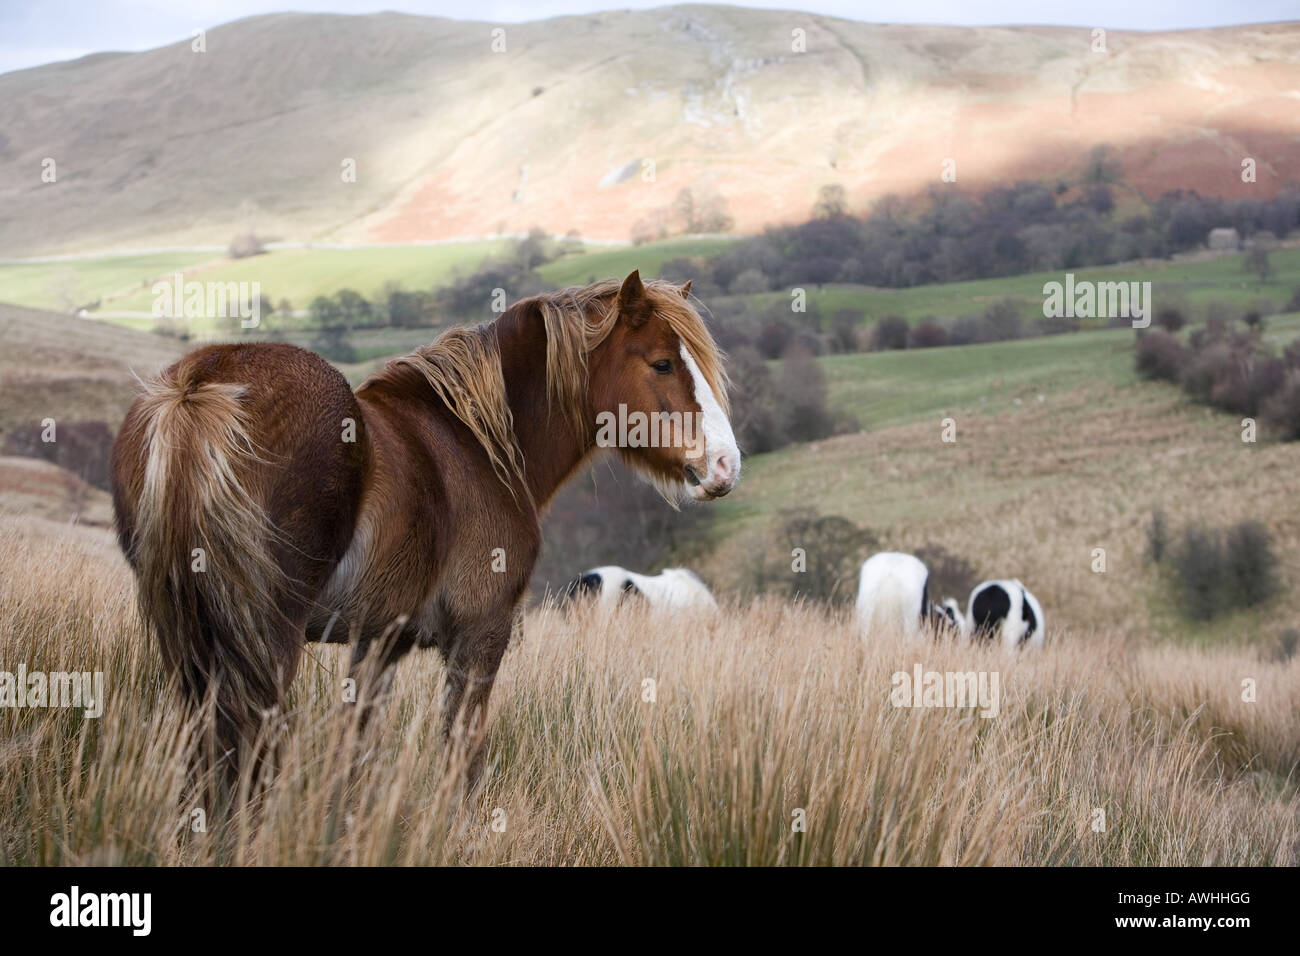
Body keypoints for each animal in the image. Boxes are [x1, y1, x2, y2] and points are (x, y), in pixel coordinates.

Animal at [109, 273, 743, 780]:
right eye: (662, 362)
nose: (725, 465)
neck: (478, 441)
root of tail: (198, 386)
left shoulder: (377, 645)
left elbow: (354, 753)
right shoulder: (479, 639)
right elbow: (460, 760)